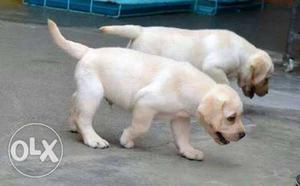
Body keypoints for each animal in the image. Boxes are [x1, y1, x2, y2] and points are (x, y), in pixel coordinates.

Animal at [47, 19, 246, 161]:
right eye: (231, 118)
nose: (243, 135)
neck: (195, 89)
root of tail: (89, 51)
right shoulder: (145, 104)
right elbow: (141, 127)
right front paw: (126, 139)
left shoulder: (180, 118)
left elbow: (182, 137)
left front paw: (189, 151)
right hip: (93, 93)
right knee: (84, 118)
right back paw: (93, 139)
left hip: (88, 90)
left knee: (75, 101)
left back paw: (73, 125)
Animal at [100, 25, 274, 99]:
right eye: (267, 78)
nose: (266, 92)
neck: (241, 52)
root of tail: (141, 30)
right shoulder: (212, 67)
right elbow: (224, 82)